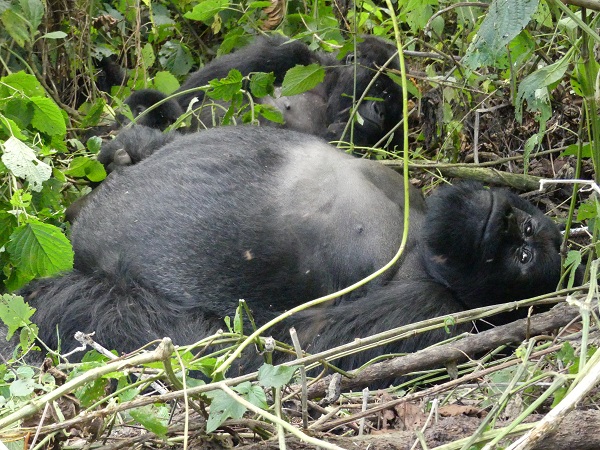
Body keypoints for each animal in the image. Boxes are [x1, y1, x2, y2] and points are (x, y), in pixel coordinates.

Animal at [17, 126, 564, 372]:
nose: (507, 218)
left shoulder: (430, 311)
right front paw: (135, 145)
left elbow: (263, 353)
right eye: (528, 229)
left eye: (523, 257)